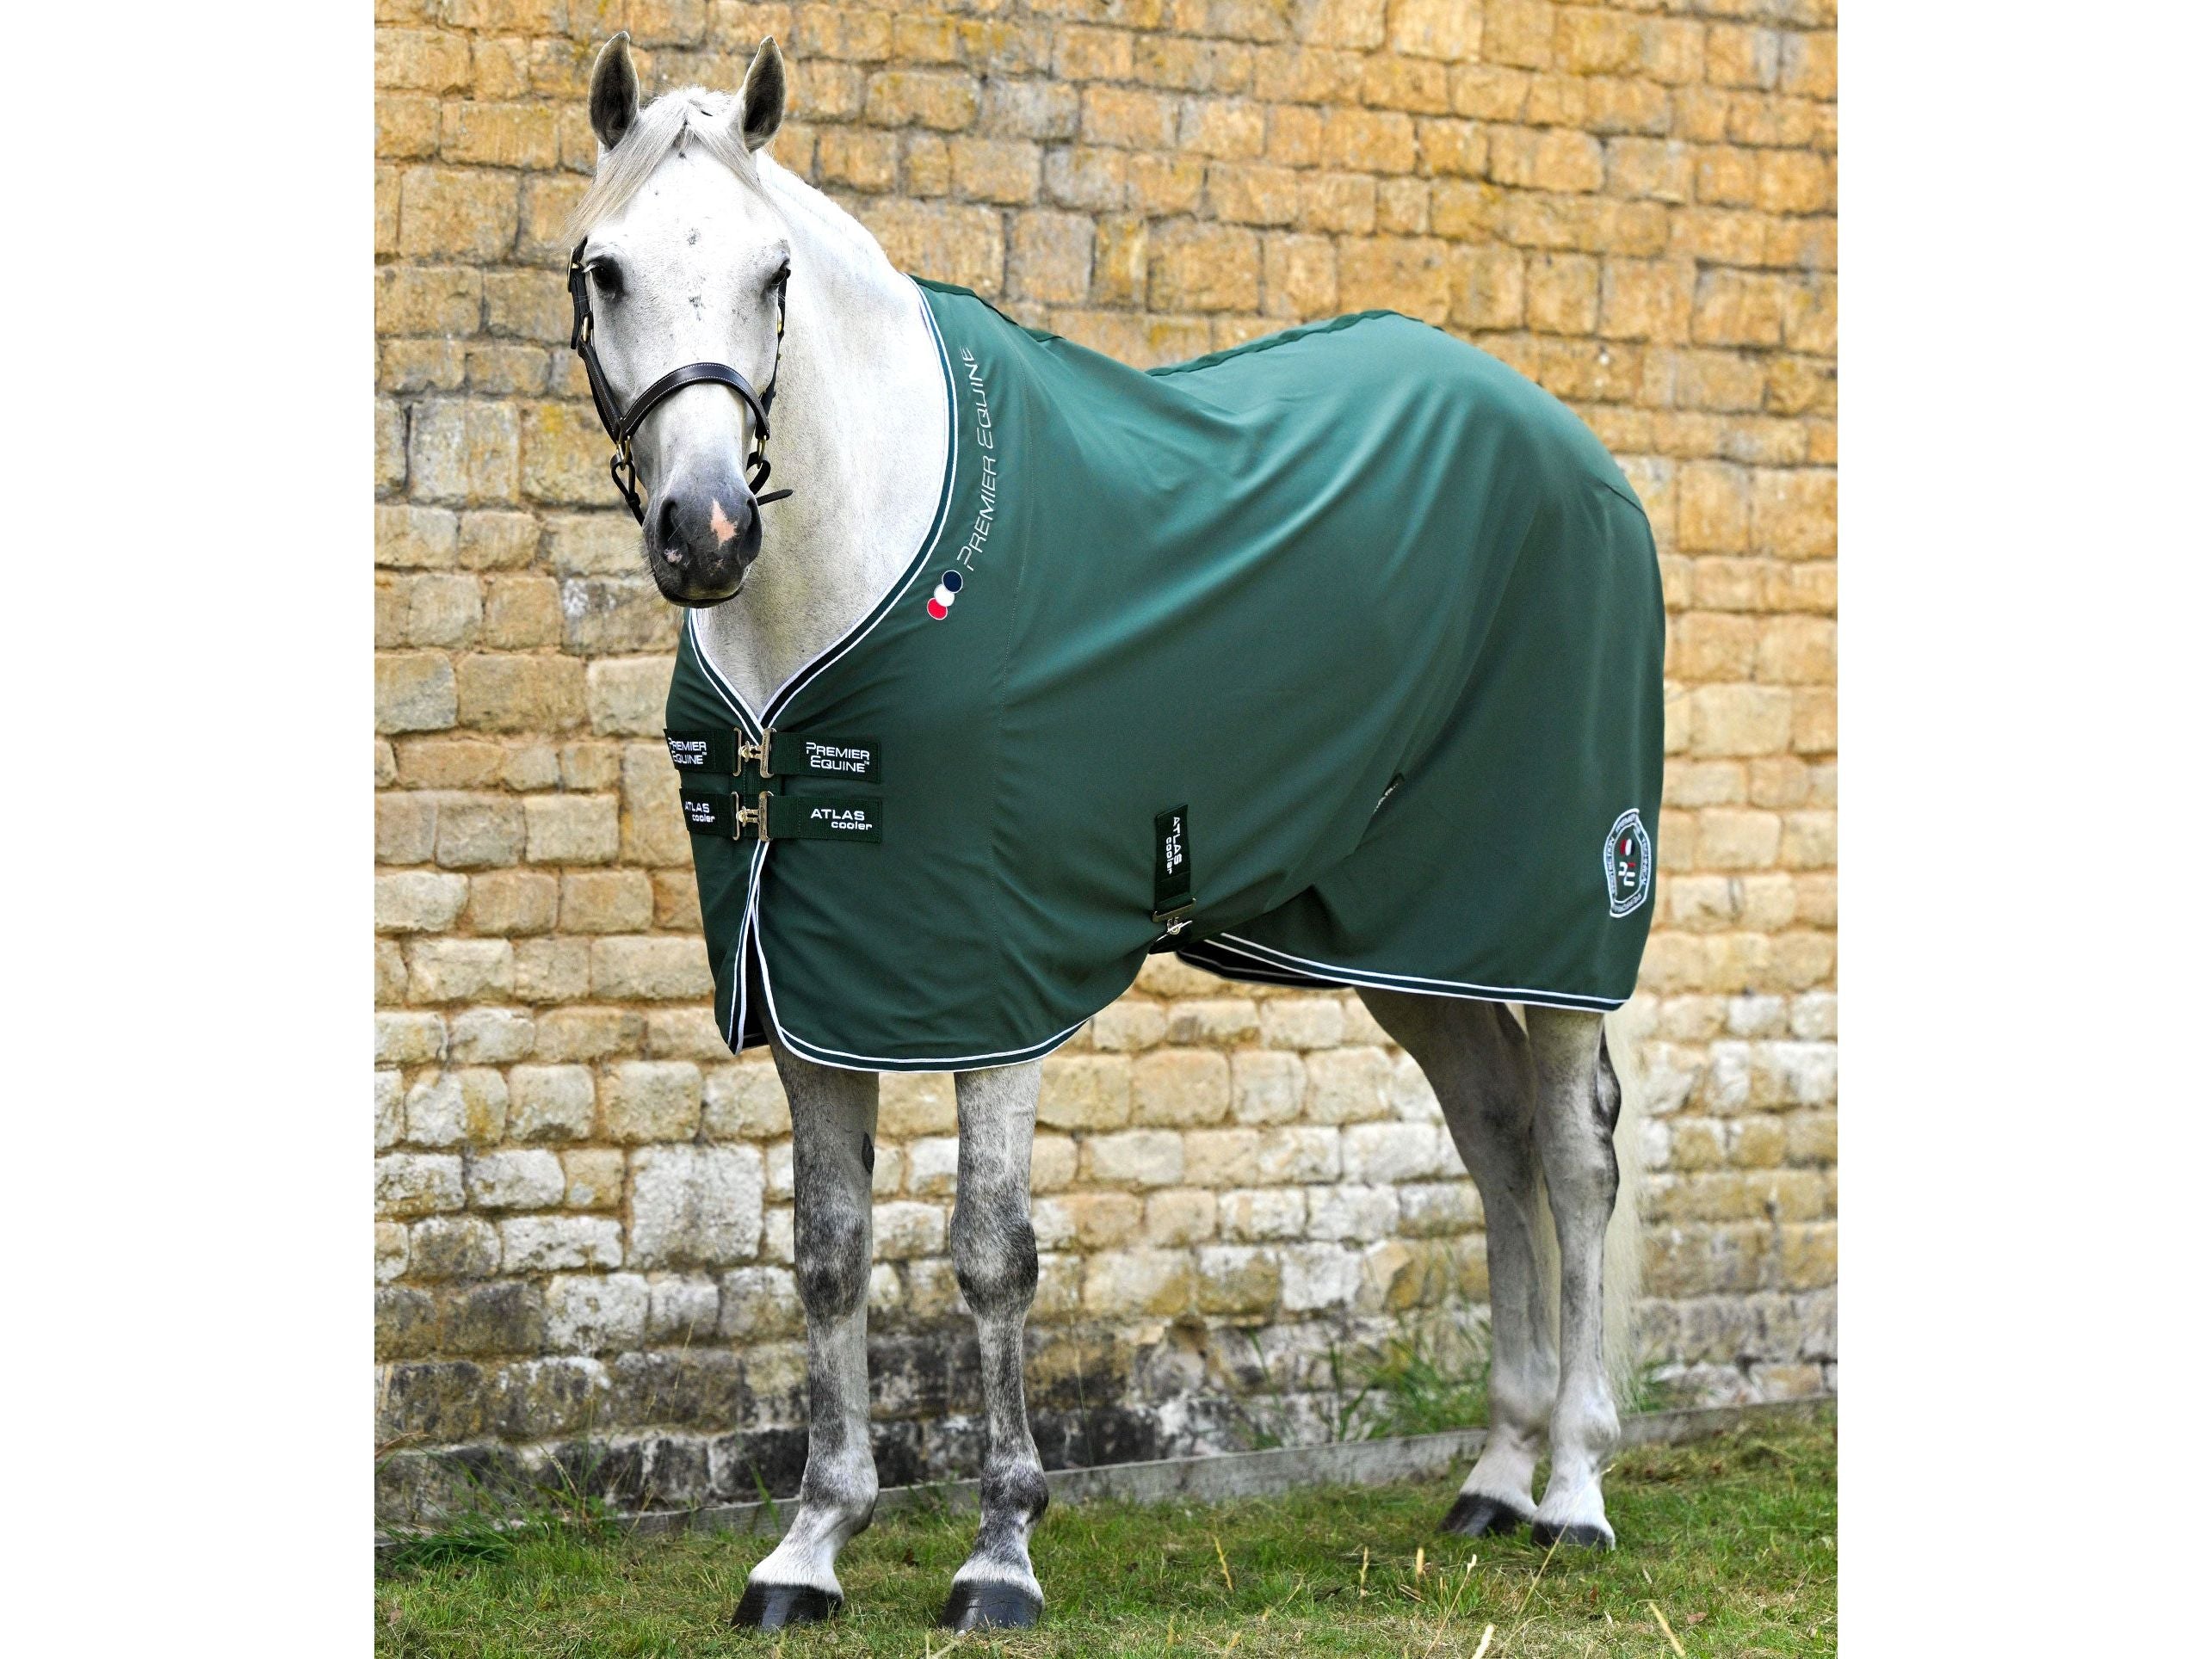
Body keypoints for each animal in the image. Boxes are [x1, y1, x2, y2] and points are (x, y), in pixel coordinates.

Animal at [565, 34, 1654, 1633]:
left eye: (774, 272)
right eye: (606, 267)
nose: (705, 530)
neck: (845, 589)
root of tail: (1572, 443)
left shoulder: (987, 978)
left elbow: (988, 1255)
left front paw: (998, 1551)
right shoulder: (812, 979)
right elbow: (828, 1254)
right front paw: (808, 1547)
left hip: (1560, 913)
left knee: (1574, 1162)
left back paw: (1571, 1488)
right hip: (1416, 942)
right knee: (1495, 1143)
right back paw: (1494, 1479)